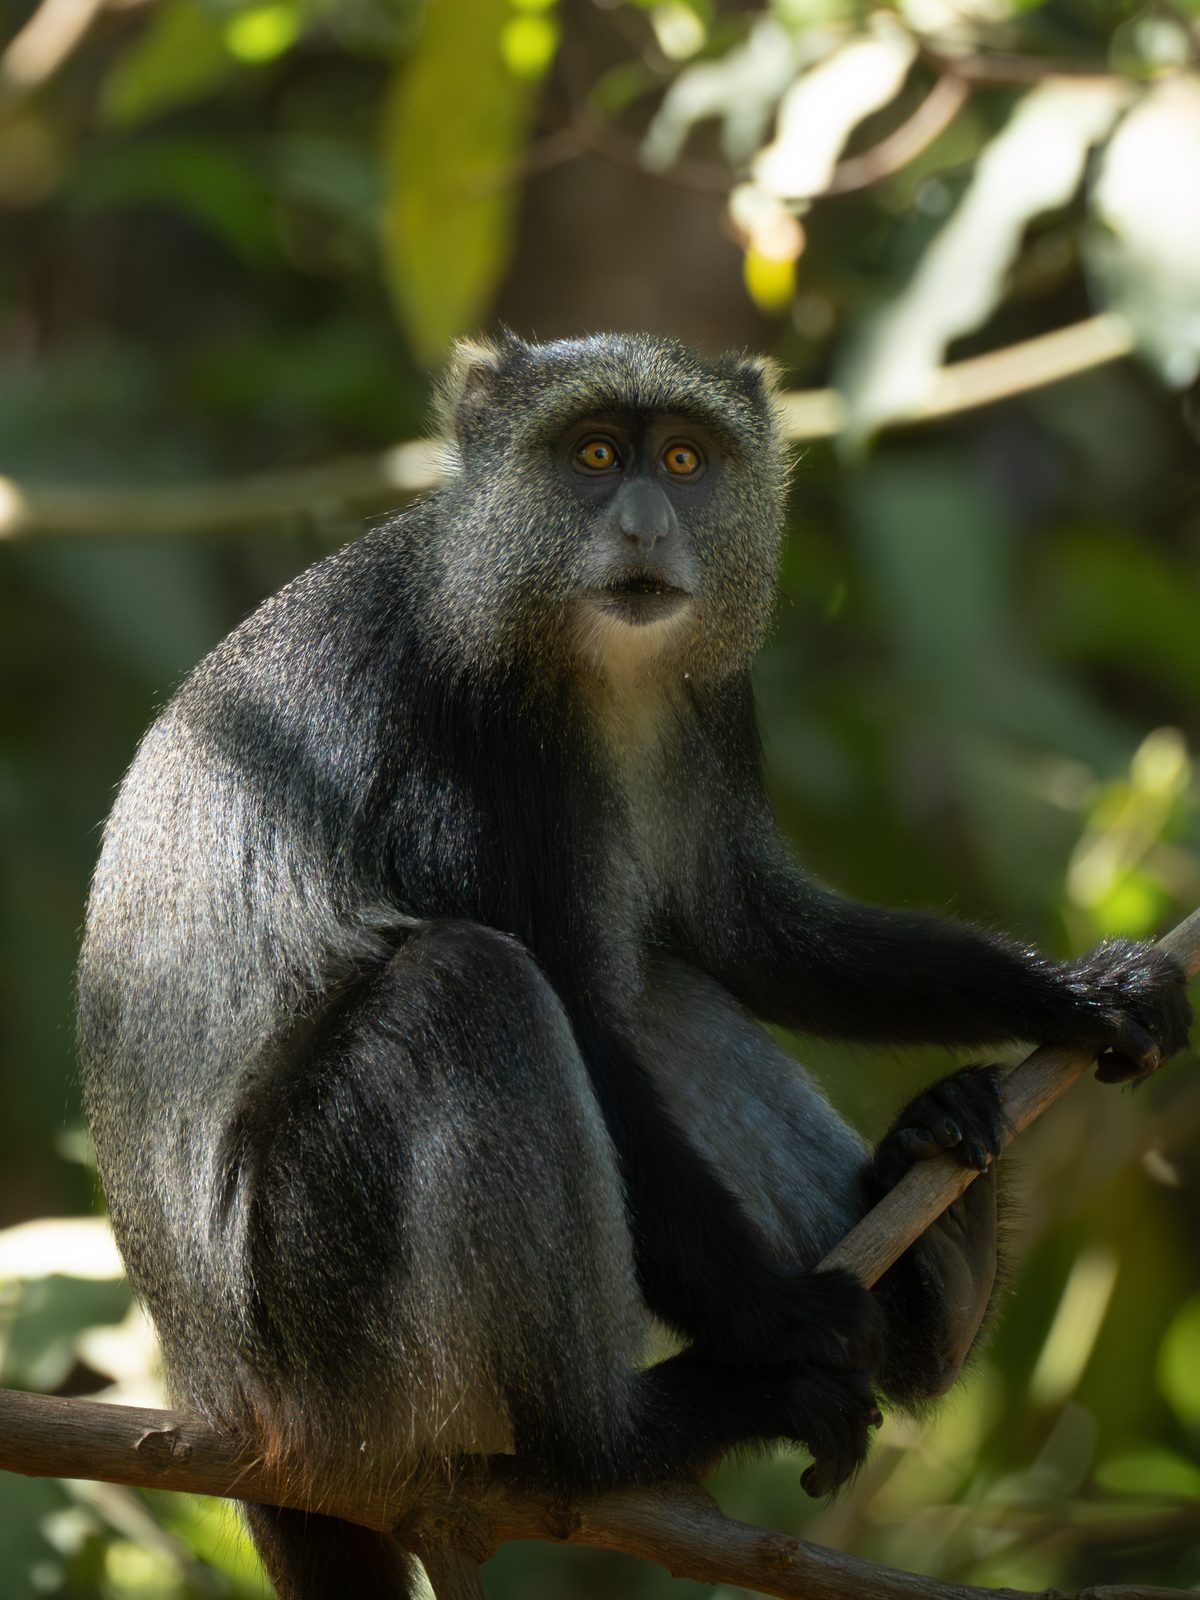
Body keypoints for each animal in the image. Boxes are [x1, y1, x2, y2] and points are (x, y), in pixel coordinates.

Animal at [77, 332, 1192, 1599]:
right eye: (597, 455)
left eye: (687, 458)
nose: (648, 522)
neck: (591, 663)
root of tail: (218, 1392)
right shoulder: (467, 727)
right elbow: (583, 1030)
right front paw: (780, 1326)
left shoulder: (715, 701)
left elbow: (751, 934)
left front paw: (1082, 994)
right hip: (320, 1319)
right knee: (471, 987)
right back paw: (620, 1437)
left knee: (655, 984)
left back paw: (938, 1279)